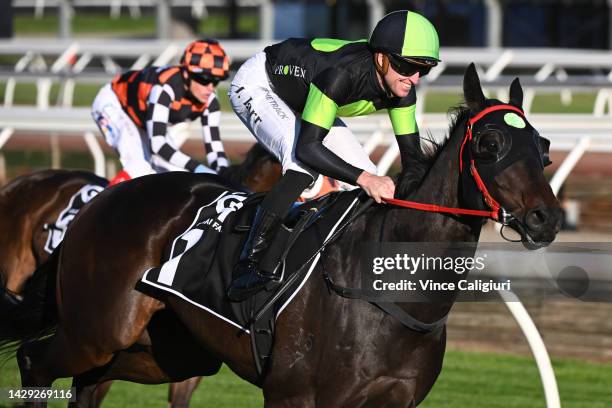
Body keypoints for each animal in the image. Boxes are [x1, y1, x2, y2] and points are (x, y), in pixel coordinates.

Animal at [1, 65, 564, 406]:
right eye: (489, 143)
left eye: (543, 145)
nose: (546, 218)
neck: (387, 291)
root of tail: (98, 204)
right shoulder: (294, 395)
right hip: (99, 330)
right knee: (34, 360)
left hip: (166, 350)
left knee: (90, 382)